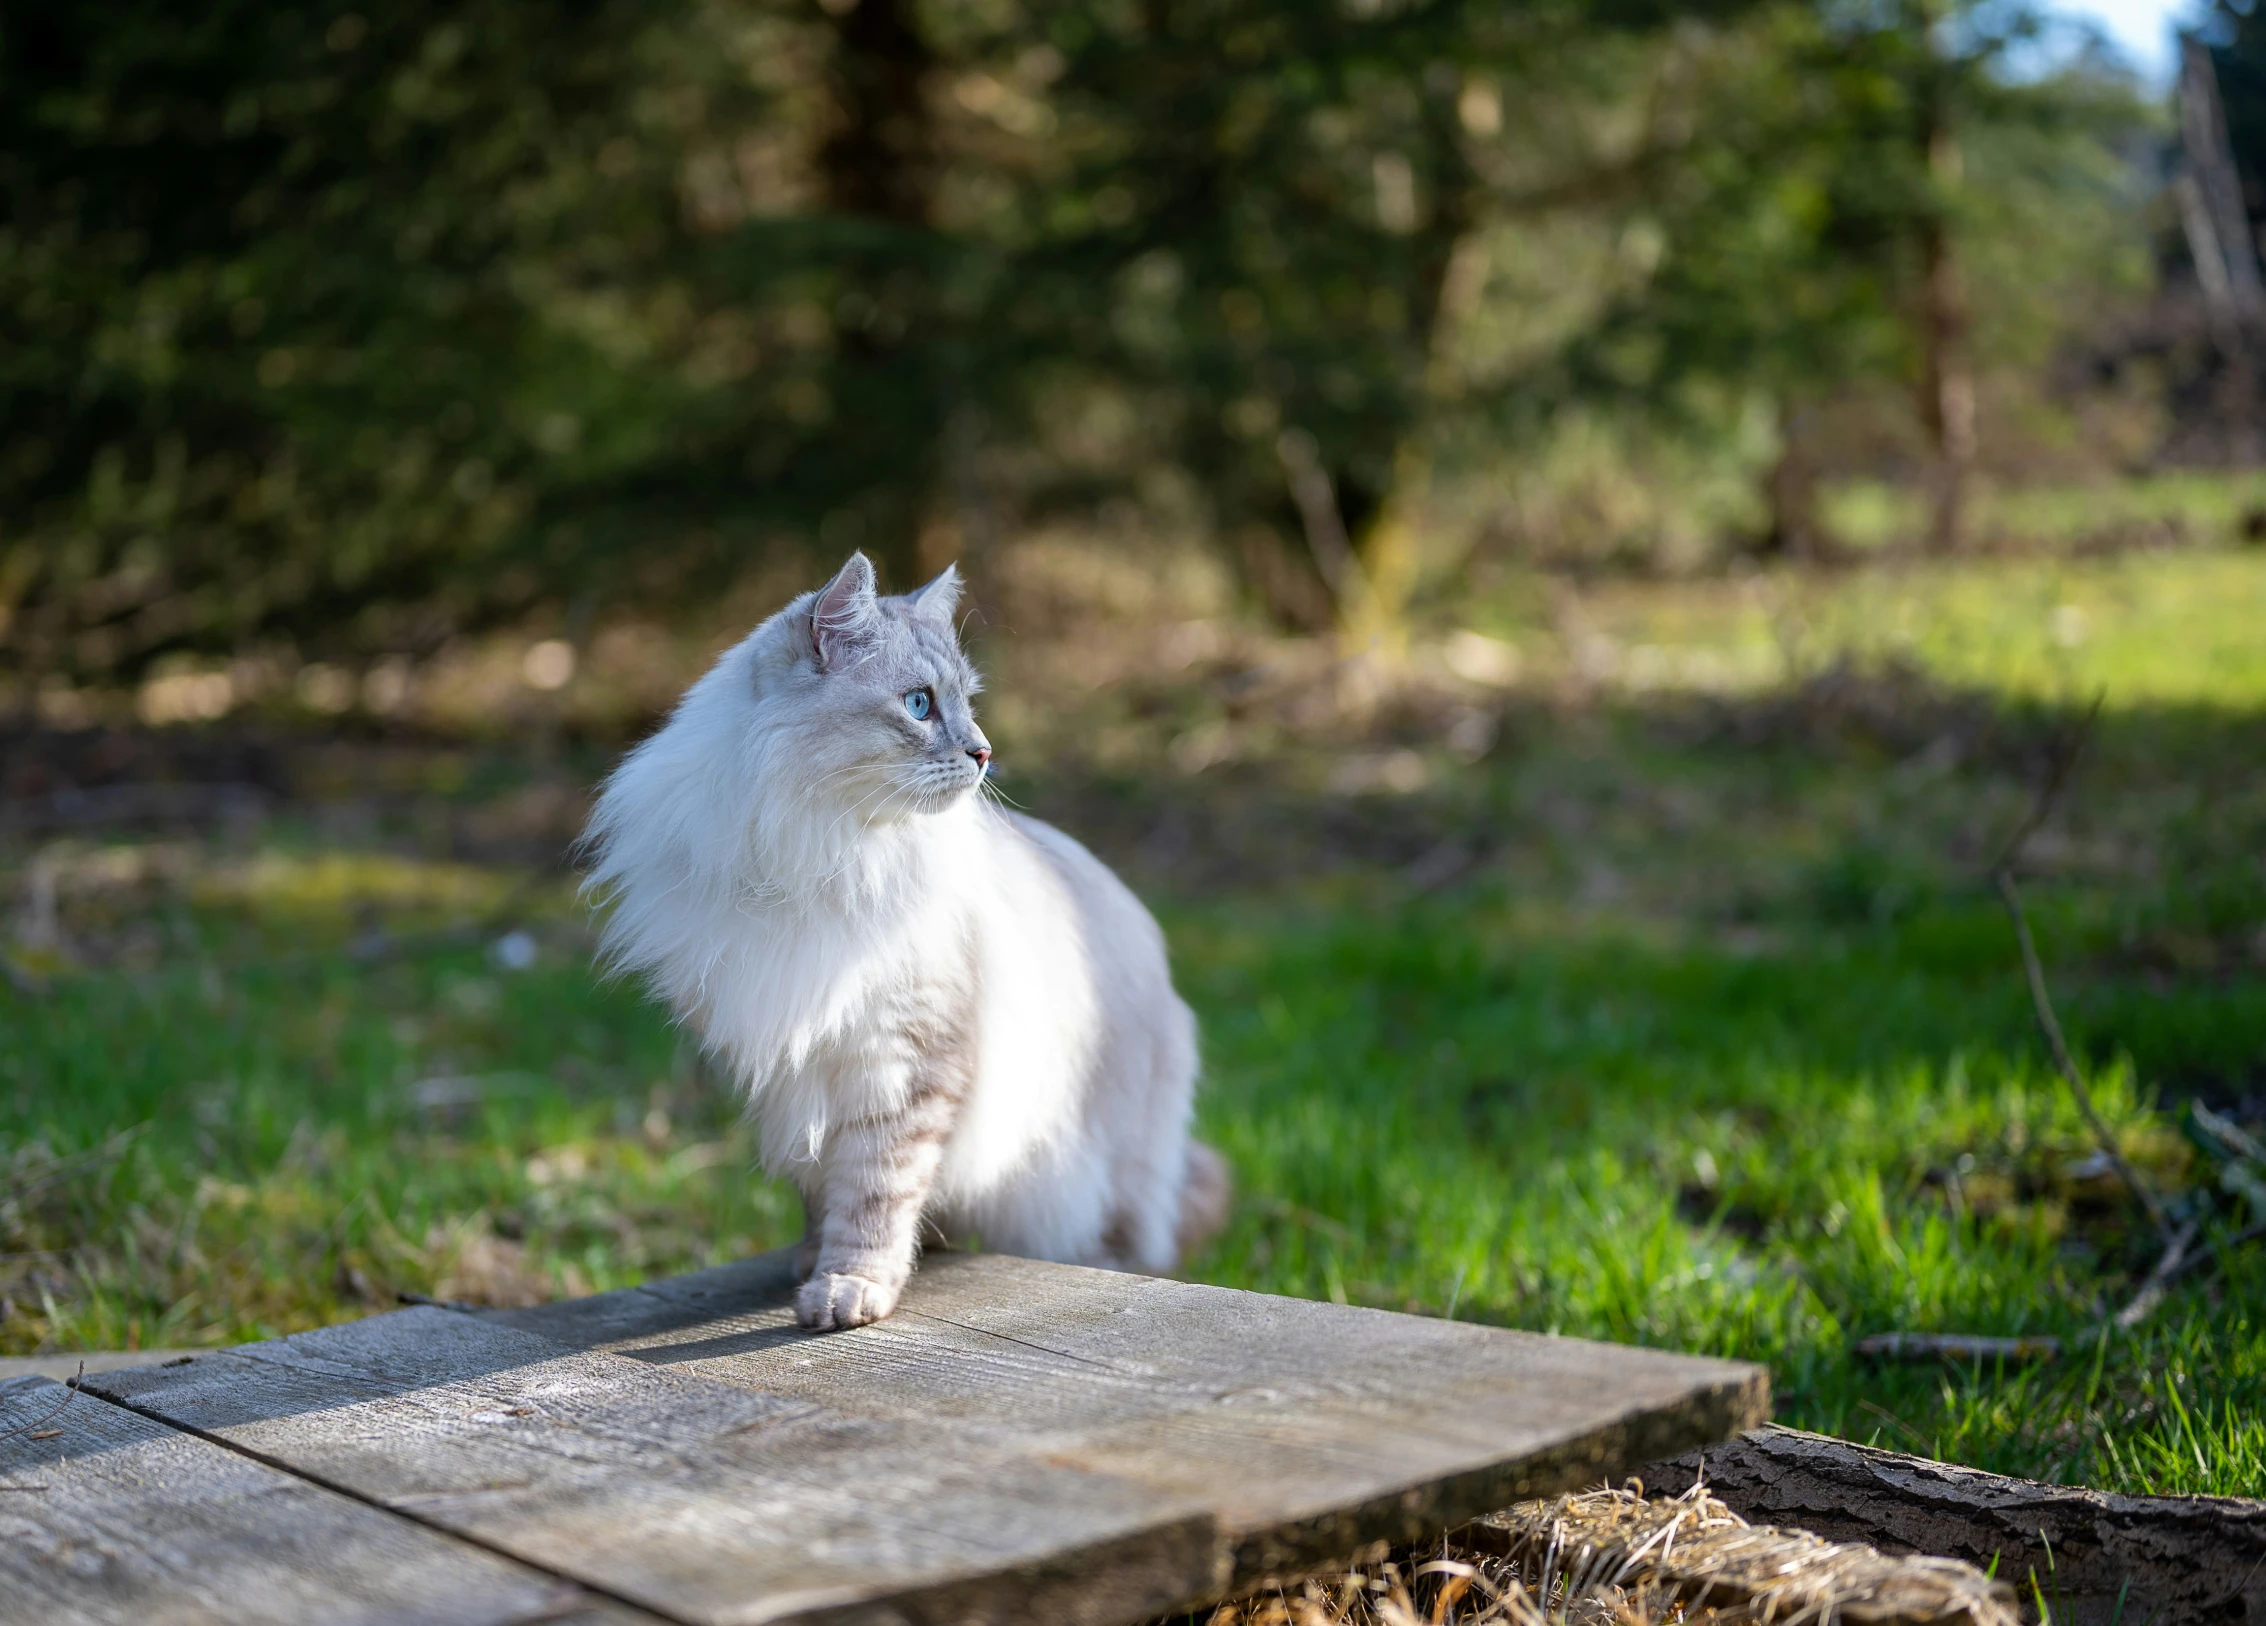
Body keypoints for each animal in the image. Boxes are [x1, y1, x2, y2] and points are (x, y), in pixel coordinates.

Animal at [580, 554, 1223, 1331]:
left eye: (968, 704)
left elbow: (874, 1193)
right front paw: (813, 1268)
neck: (825, 850)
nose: (984, 752)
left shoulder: (901, 1062)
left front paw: (849, 1288)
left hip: (1104, 1167)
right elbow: (824, 1191)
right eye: (919, 705)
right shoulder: (796, 1068)